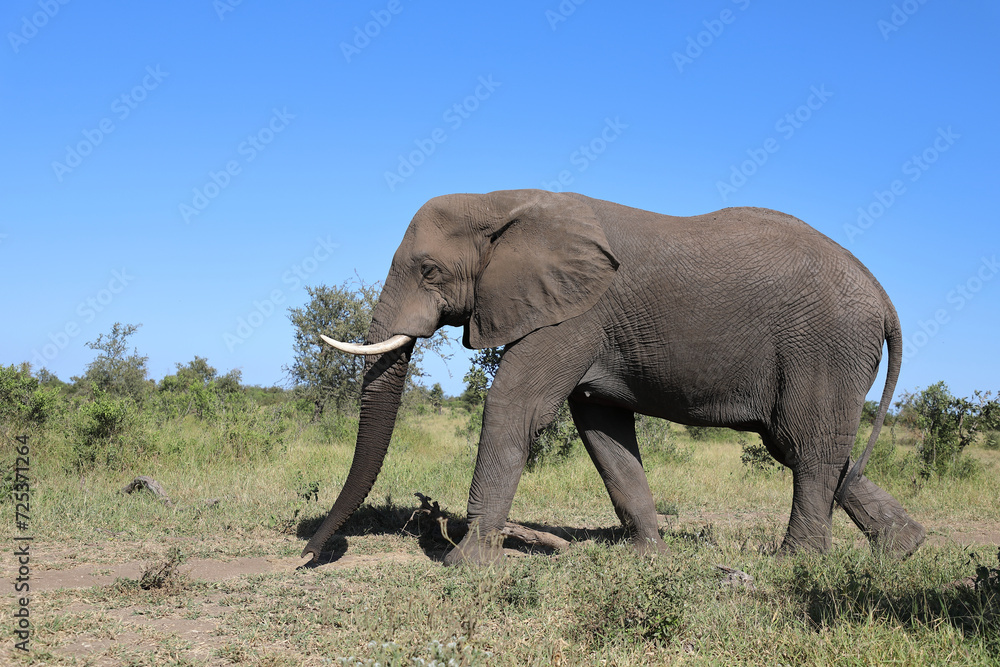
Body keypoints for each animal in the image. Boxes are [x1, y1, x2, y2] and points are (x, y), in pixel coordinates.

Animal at [301, 189, 926, 566]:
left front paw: (465, 565)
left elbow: (515, 405)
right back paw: (904, 549)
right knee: (809, 448)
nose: (310, 554)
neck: (504, 200)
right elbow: (604, 431)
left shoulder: (577, 312)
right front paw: (651, 557)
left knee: (808, 446)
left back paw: (794, 562)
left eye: (430, 271)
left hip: (825, 346)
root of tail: (884, 297)